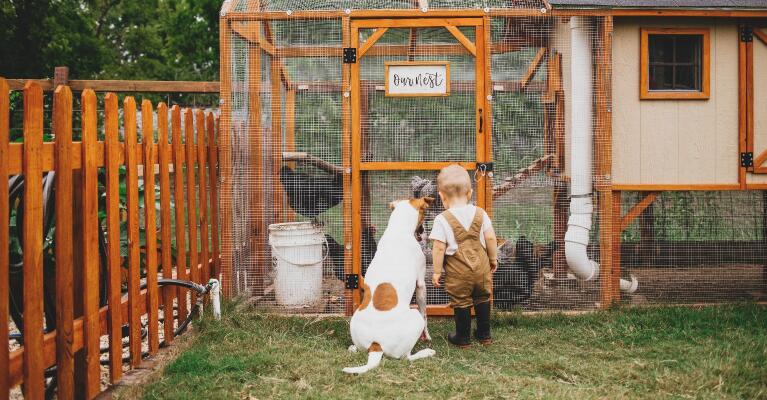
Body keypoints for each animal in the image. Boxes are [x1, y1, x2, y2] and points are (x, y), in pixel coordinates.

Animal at [344, 197, 438, 376]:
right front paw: (428, 337)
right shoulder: (421, 285)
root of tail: (376, 345)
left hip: (355, 324)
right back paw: (427, 352)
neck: (398, 231)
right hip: (413, 317)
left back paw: (352, 348)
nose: (423, 231)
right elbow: (425, 314)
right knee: (407, 357)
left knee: (358, 349)